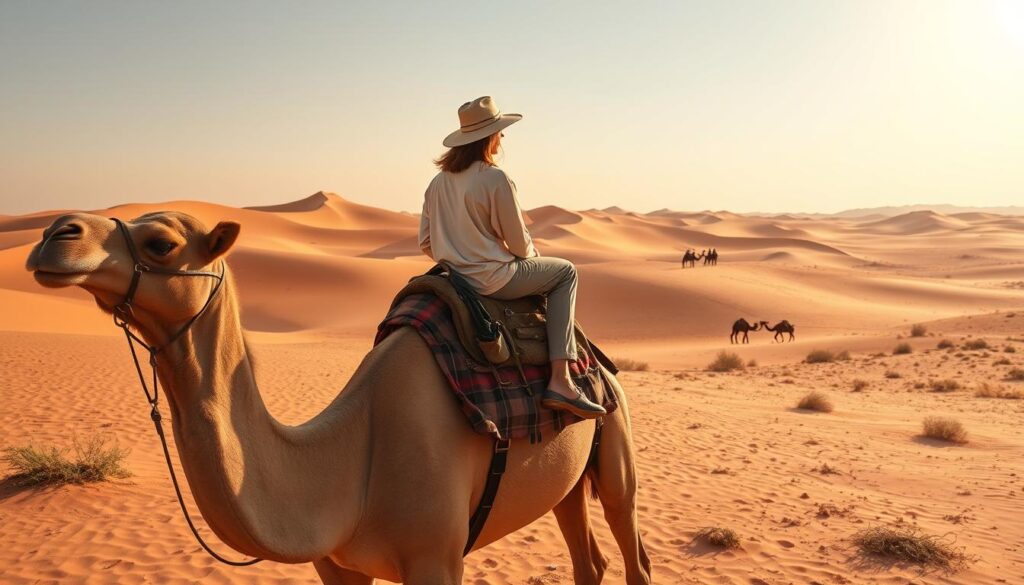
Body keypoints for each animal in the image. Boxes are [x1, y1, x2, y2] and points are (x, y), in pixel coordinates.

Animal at [27, 212, 652, 585]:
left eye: (161, 243)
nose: (56, 234)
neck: (347, 464)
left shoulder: (436, 557)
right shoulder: (336, 565)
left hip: (616, 445)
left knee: (631, 546)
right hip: (565, 480)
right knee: (588, 557)